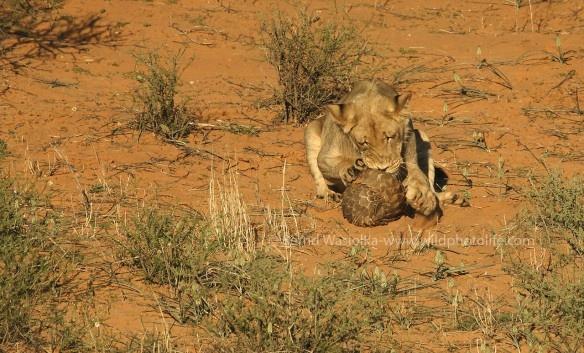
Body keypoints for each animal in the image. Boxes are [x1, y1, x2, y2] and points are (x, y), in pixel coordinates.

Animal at [304, 80, 458, 216]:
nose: (382, 169)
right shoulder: (325, 155)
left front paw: (422, 195)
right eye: (364, 143)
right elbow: (328, 163)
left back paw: (448, 198)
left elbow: (414, 167)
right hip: (311, 130)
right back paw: (329, 194)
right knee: (319, 177)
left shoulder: (410, 134)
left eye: (390, 137)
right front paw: (351, 169)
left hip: (423, 136)